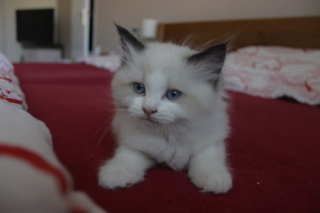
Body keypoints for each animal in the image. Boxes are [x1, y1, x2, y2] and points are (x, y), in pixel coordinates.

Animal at [99, 25, 231, 195]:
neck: (168, 134)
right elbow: (126, 157)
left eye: (173, 94)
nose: (148, 109)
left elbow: (208, 158)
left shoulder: (212, 140)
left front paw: (214, 178)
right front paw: (116, 173)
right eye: (139, 88)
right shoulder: (133, 143)